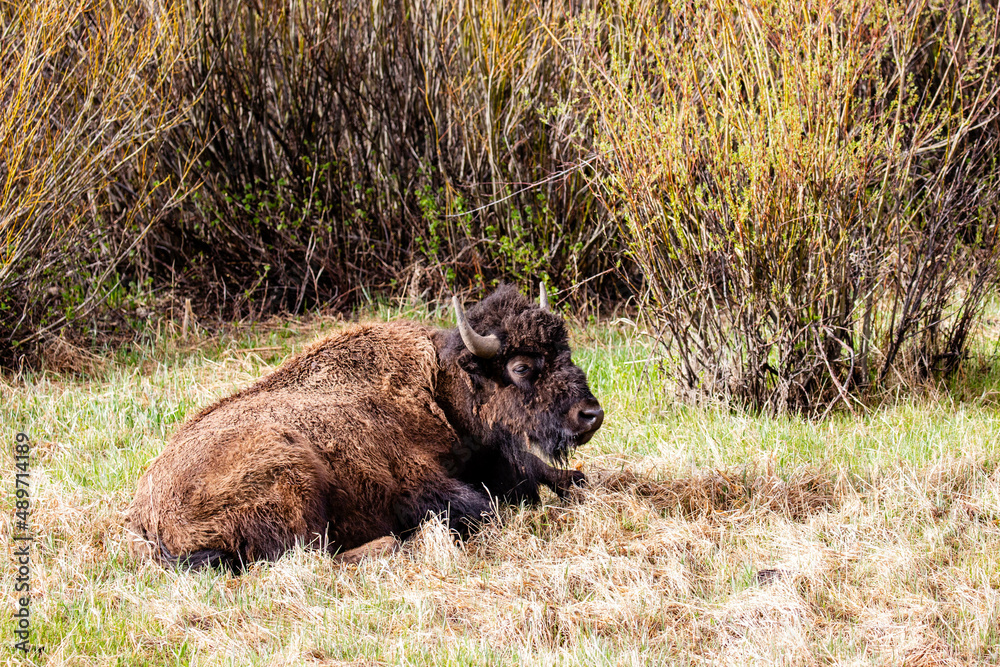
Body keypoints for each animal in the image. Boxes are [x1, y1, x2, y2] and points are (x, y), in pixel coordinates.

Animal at [129, 284, 604, 572]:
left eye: (564, 351)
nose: (590, 415)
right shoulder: (418, 484)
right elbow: (486, 508)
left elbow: (557, 475)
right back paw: (394, 544)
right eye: (521, 367)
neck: (439, 387)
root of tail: (147, 515)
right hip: (292, 474)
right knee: (309, 555)